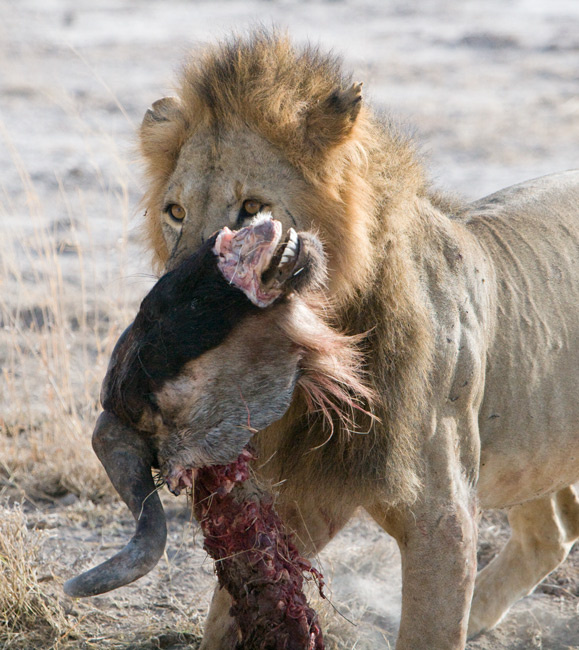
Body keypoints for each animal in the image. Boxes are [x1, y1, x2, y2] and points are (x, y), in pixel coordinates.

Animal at [81, 32, 579, 648]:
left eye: (252, 208)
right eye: (175, 212)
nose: (174, 305)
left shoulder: (443, 520)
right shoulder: (302, 497)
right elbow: (234, 608)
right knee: (553, 530)